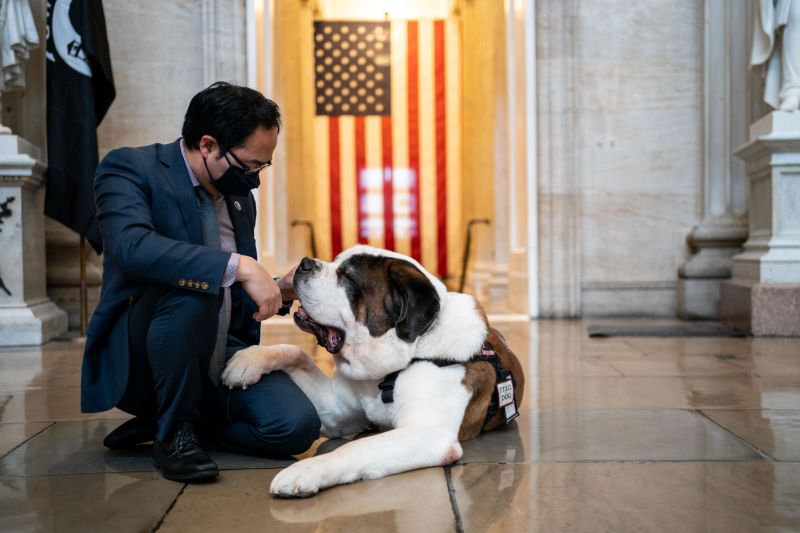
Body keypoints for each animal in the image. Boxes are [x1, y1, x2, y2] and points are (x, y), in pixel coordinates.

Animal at [222, 244, 528, 494]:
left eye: (347, 278)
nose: (305, 262)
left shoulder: (428, 433)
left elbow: (355, 446)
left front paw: (306, 470)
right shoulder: (335, 414)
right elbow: (296, 353)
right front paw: (248, 360)